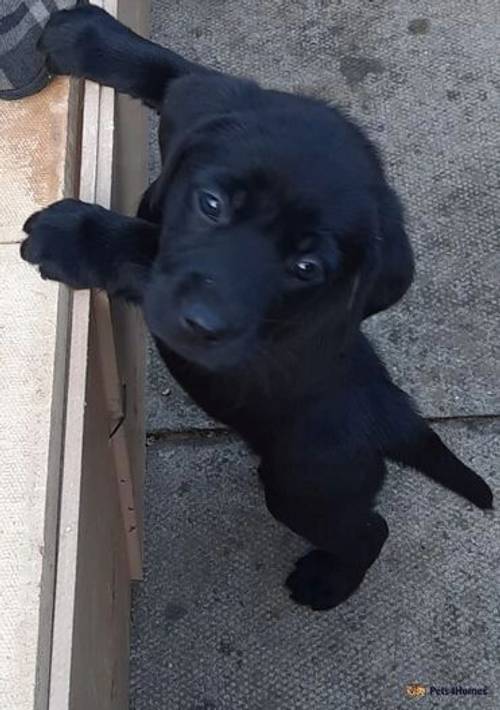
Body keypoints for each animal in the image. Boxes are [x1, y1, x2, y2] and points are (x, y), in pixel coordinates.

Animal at [20, 5, 492, 612]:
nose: (201, 325)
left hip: (305, 486)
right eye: (211, 203)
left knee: (368, 530)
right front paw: (84, 35)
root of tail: (395, 411)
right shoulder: (206, 96)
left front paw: (75, 235)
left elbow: (140, 252)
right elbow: (166, 69)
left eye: (307, 267)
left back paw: (327, 582)